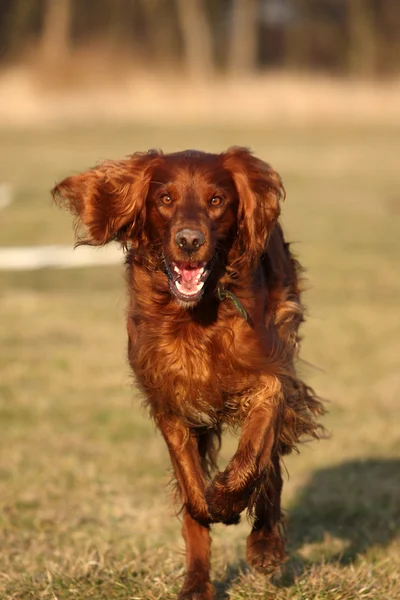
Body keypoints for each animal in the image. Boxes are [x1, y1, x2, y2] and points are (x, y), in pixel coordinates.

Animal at [53, 146, 324, 600]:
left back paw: (265, 543)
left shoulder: (270, 377)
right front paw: (210, 509)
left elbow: (255, 455)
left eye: (217, 200)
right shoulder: (169, 400)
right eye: (165, 199)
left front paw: (231, 502)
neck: (196, 315)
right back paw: (196, 583)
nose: (189, 241)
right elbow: (192, 494)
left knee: (270, 466)